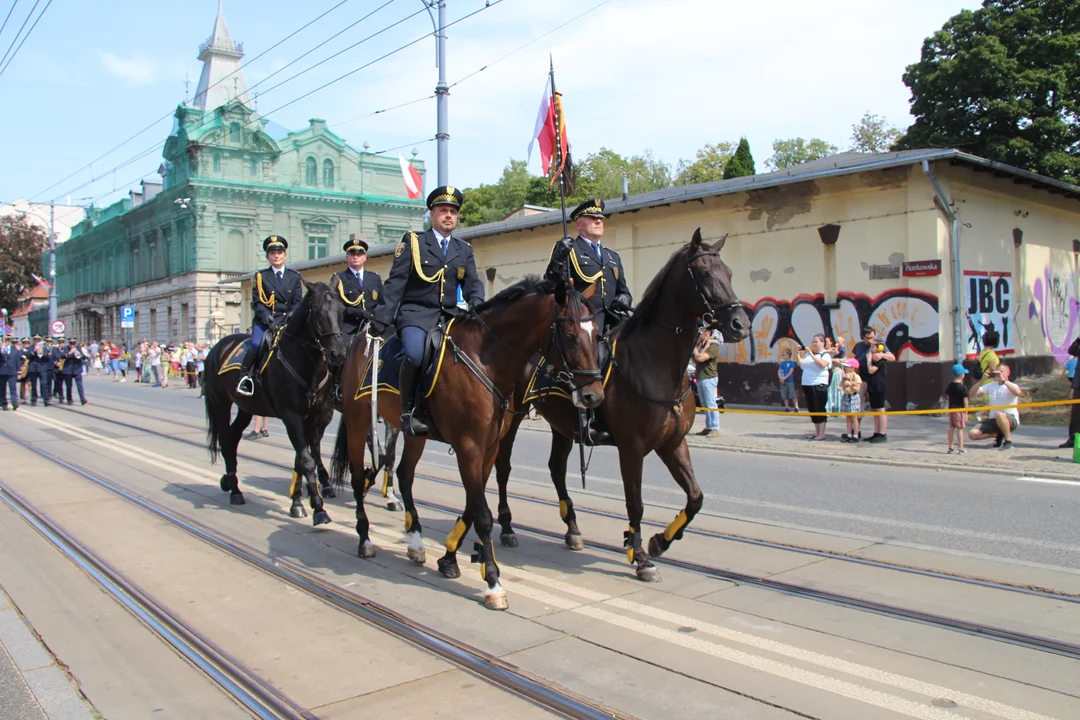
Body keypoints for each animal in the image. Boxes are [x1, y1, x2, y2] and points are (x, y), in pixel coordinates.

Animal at [204, 278, 347, 524]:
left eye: (341, 311)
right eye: (318, 311)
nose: (337, 354)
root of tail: (218, 346)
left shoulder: (312, 416)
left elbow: (302, 458)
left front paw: (298, 503)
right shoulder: (292, 417)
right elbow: (306, 459)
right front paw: (318, 509)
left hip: (246, 408)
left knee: (232, 437)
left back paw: (231, 482)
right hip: (220, 403)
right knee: (225, 438)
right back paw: (235, 490)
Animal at [328, 274, 604, 608]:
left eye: (598, 334)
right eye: (569, 333)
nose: (593, 396)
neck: (485, 359)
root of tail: (357, 343)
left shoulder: (489, 447)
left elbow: (474, 503)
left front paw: (451, 558)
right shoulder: (468, 447)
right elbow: (482, 514)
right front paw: (493, 582)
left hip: (414, 434)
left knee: (405, 476)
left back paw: (416, 541)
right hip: (357, 423)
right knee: (358, 478)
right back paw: (365, 538)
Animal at [492, 227, 751, 582]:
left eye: (729, 272)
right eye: (704, 273)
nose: (741, 324)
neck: (655, 362)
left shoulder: (673, 443)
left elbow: (695, 497)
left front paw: (658, 542)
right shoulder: (632, 447)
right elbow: (635, 503)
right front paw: (641, 557)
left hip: (563, 424)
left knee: (556, 468)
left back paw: (572, 529)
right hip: (511, 416)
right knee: (503, 466)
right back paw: (506, 526)